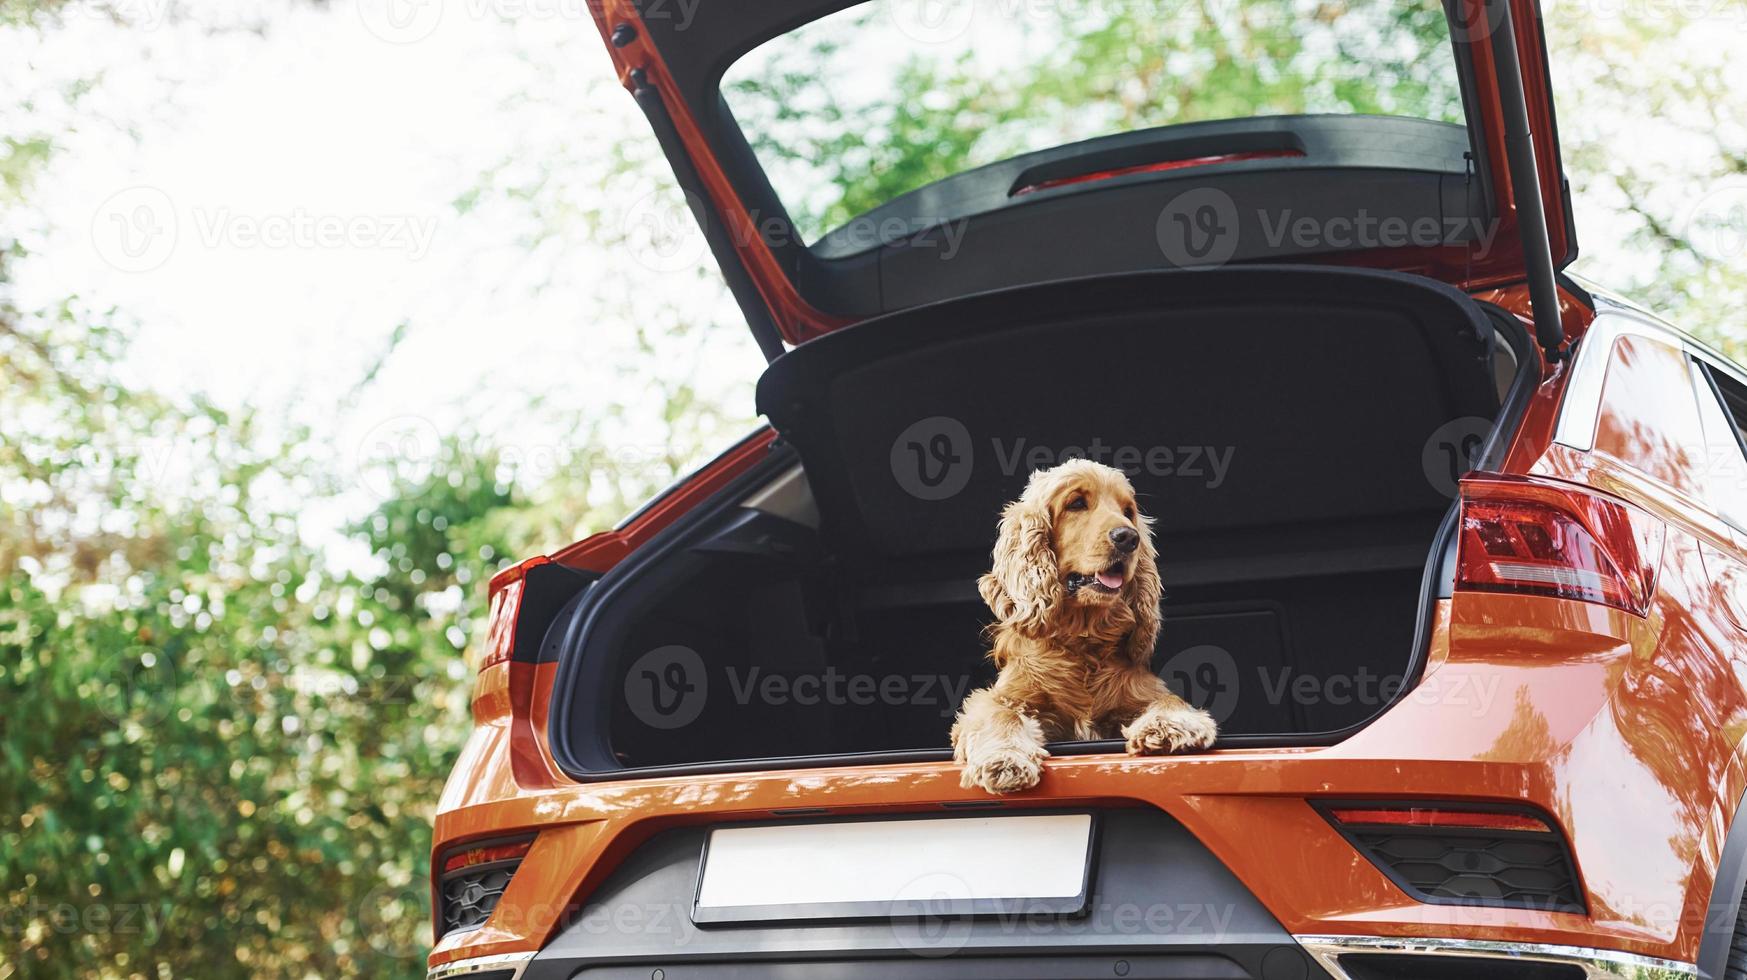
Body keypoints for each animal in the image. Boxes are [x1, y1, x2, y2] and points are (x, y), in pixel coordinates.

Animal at [957, 461, 1215, 796]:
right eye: (1077, 503)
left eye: (1128, 511)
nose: (1128, 537)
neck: (1082, 640)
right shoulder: (1003, 696)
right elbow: (1000, 712)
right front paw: (1005, 759)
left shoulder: (1141, 690)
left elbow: (1168, 699)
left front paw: (1171, 726)